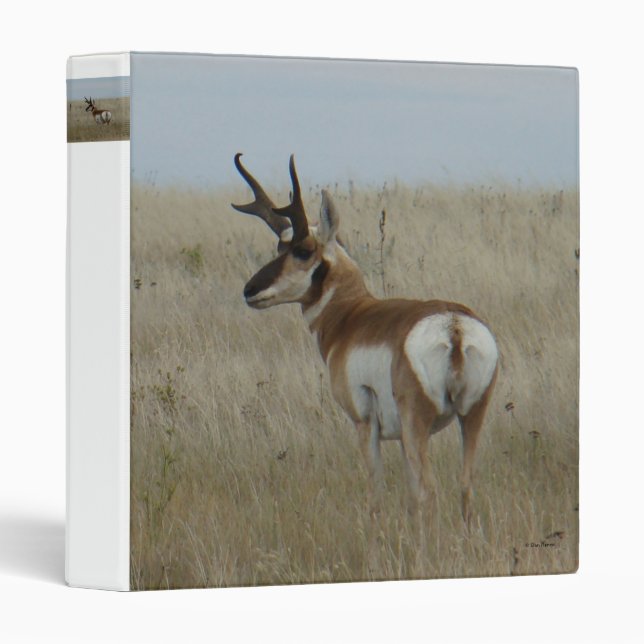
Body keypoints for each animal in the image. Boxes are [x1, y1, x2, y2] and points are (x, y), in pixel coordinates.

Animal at [232, 153, 498, 543]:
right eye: (280, 246)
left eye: (302, 250)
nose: (250, 290)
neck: (352, 315)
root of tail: (454, 326)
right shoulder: (402, 437)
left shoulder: (364, 424)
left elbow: (376, 493)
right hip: (471, 417)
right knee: (464, 487)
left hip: (418, 424)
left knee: (429, 490)